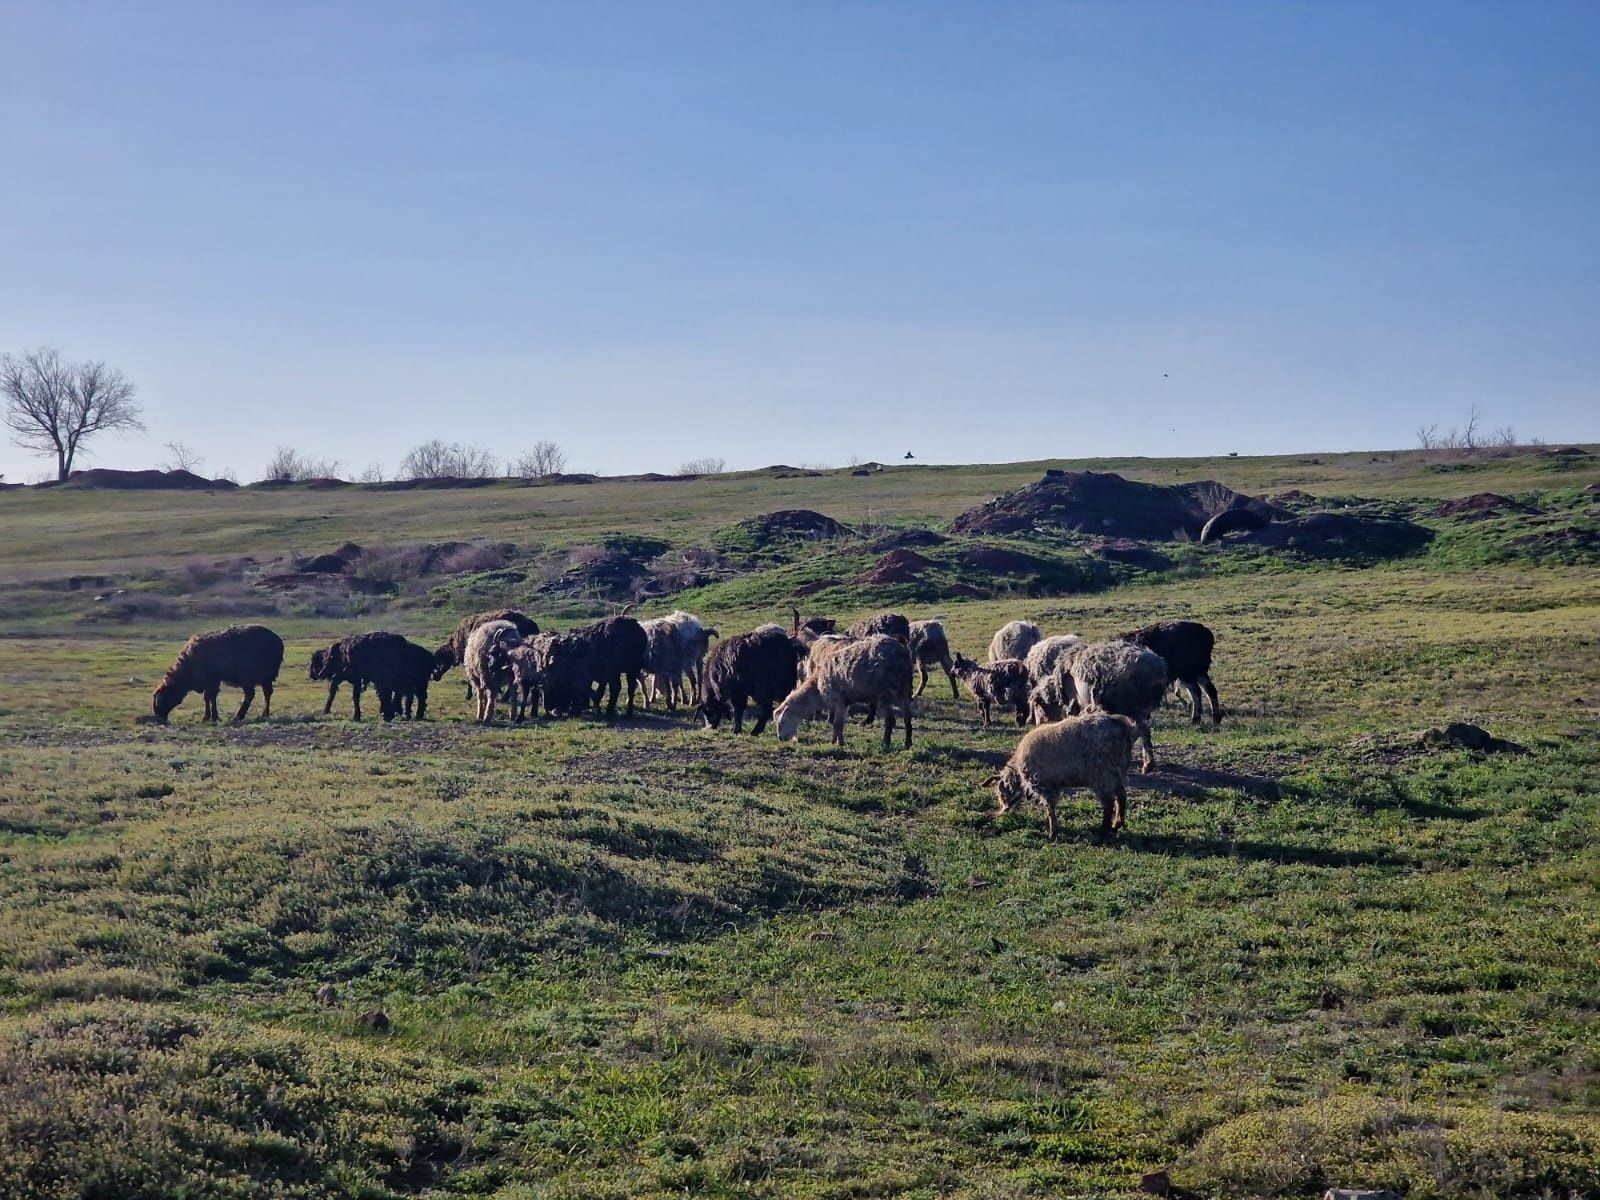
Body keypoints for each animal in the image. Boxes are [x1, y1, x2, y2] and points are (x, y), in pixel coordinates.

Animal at [152, 630, 284, 723]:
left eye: (161, 699)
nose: (159, 717)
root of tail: (278, 641)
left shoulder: (212, 680)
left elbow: (208, 696)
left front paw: (209, 717)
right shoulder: (212, 681)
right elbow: (210, 697)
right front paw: (211, 716)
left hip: (250, 676)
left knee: (251, 694)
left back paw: (240, 716)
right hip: (265, 677)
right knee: (266, 693)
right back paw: (264, 714)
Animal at [774, 633, 915, 748]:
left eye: (782, 722)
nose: (780, 738)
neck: (816, 690)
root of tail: (901, 653)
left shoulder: (838, 699)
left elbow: (837, 723)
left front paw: (839, 743)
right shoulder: (845, 701)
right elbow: (838, 723)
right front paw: (835, 741)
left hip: (884, 692)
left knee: (890, 719)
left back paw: (886, 742)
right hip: (905, 689)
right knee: (907, 717)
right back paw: (907, 743)